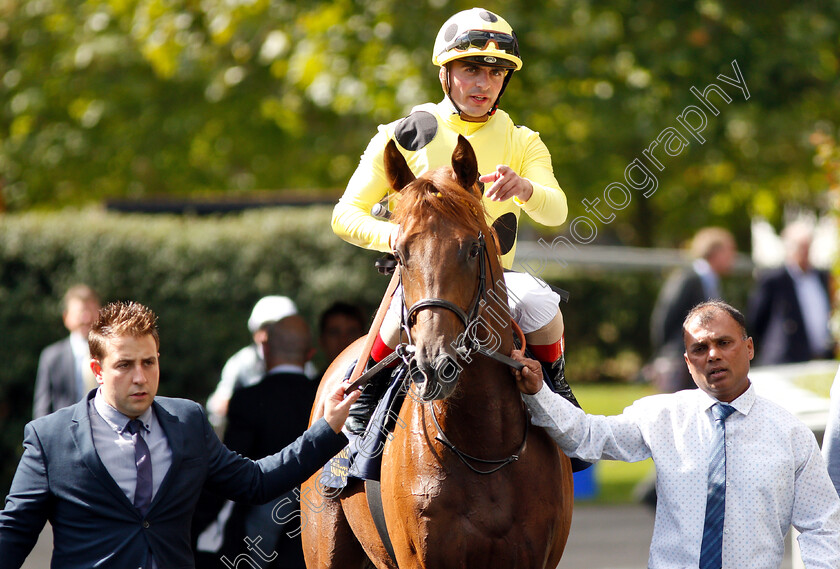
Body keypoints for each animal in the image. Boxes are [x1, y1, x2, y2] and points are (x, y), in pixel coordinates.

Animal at [298, 135, 576, 564]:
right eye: (399, 254)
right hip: (325, 543)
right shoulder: (420, 555)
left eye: (472, 249)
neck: (484, 445)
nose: (433, 365)